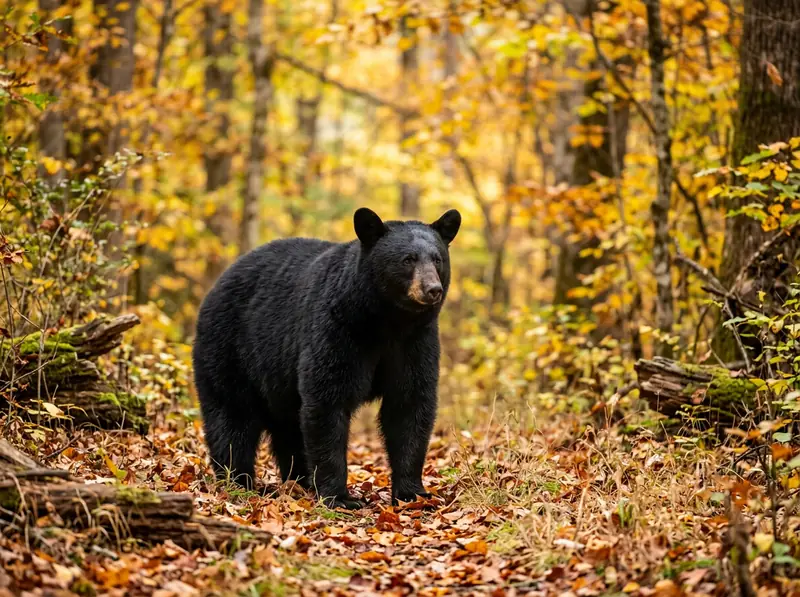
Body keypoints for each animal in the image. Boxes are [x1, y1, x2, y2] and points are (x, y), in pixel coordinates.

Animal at [192, 207, 461, 509]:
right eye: (407, 259)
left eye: (437, 259)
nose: (432, 289)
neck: (385, 321)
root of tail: (217, 284)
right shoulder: (336, 330)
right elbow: (328, 402)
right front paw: (339, 497)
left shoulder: (415, 343)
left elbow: (409, 405)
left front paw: (412, 493)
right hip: (230, 349)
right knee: (232, 417)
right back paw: (237, 481)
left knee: (288, 428)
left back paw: (300, 480)